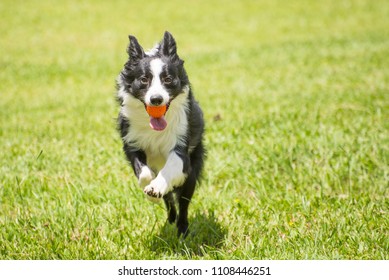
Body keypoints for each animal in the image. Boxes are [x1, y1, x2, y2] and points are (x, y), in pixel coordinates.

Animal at [116, 31, 205, 236]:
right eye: (144, 79)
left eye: (168, 79)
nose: (156, 99)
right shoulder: (131, 144)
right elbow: (144, 173)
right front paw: (152, 192)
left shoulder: (181, 147)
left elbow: (170, 169)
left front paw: (156, 188)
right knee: (170, 199)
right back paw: (170, 217)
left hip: (193, 169)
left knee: (184, 202)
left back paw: (182, 229)